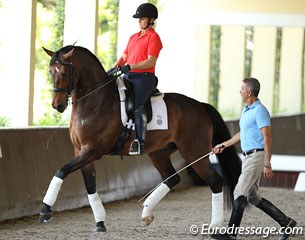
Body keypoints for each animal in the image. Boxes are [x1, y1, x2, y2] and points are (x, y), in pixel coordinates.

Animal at [39, 45, 240, 232]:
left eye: (64, 72)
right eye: (50, 71)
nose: (57, 105)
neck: (95, 101)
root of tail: (201, 105)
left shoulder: (92, 150)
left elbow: (61, 171)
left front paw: (45, 211)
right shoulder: (81, 151)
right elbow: (90, 186)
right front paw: (100, 223)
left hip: (194, 152)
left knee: (215, 181)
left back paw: (214, 225)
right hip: (159, 153)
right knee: (171, 179)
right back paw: (146, 214)